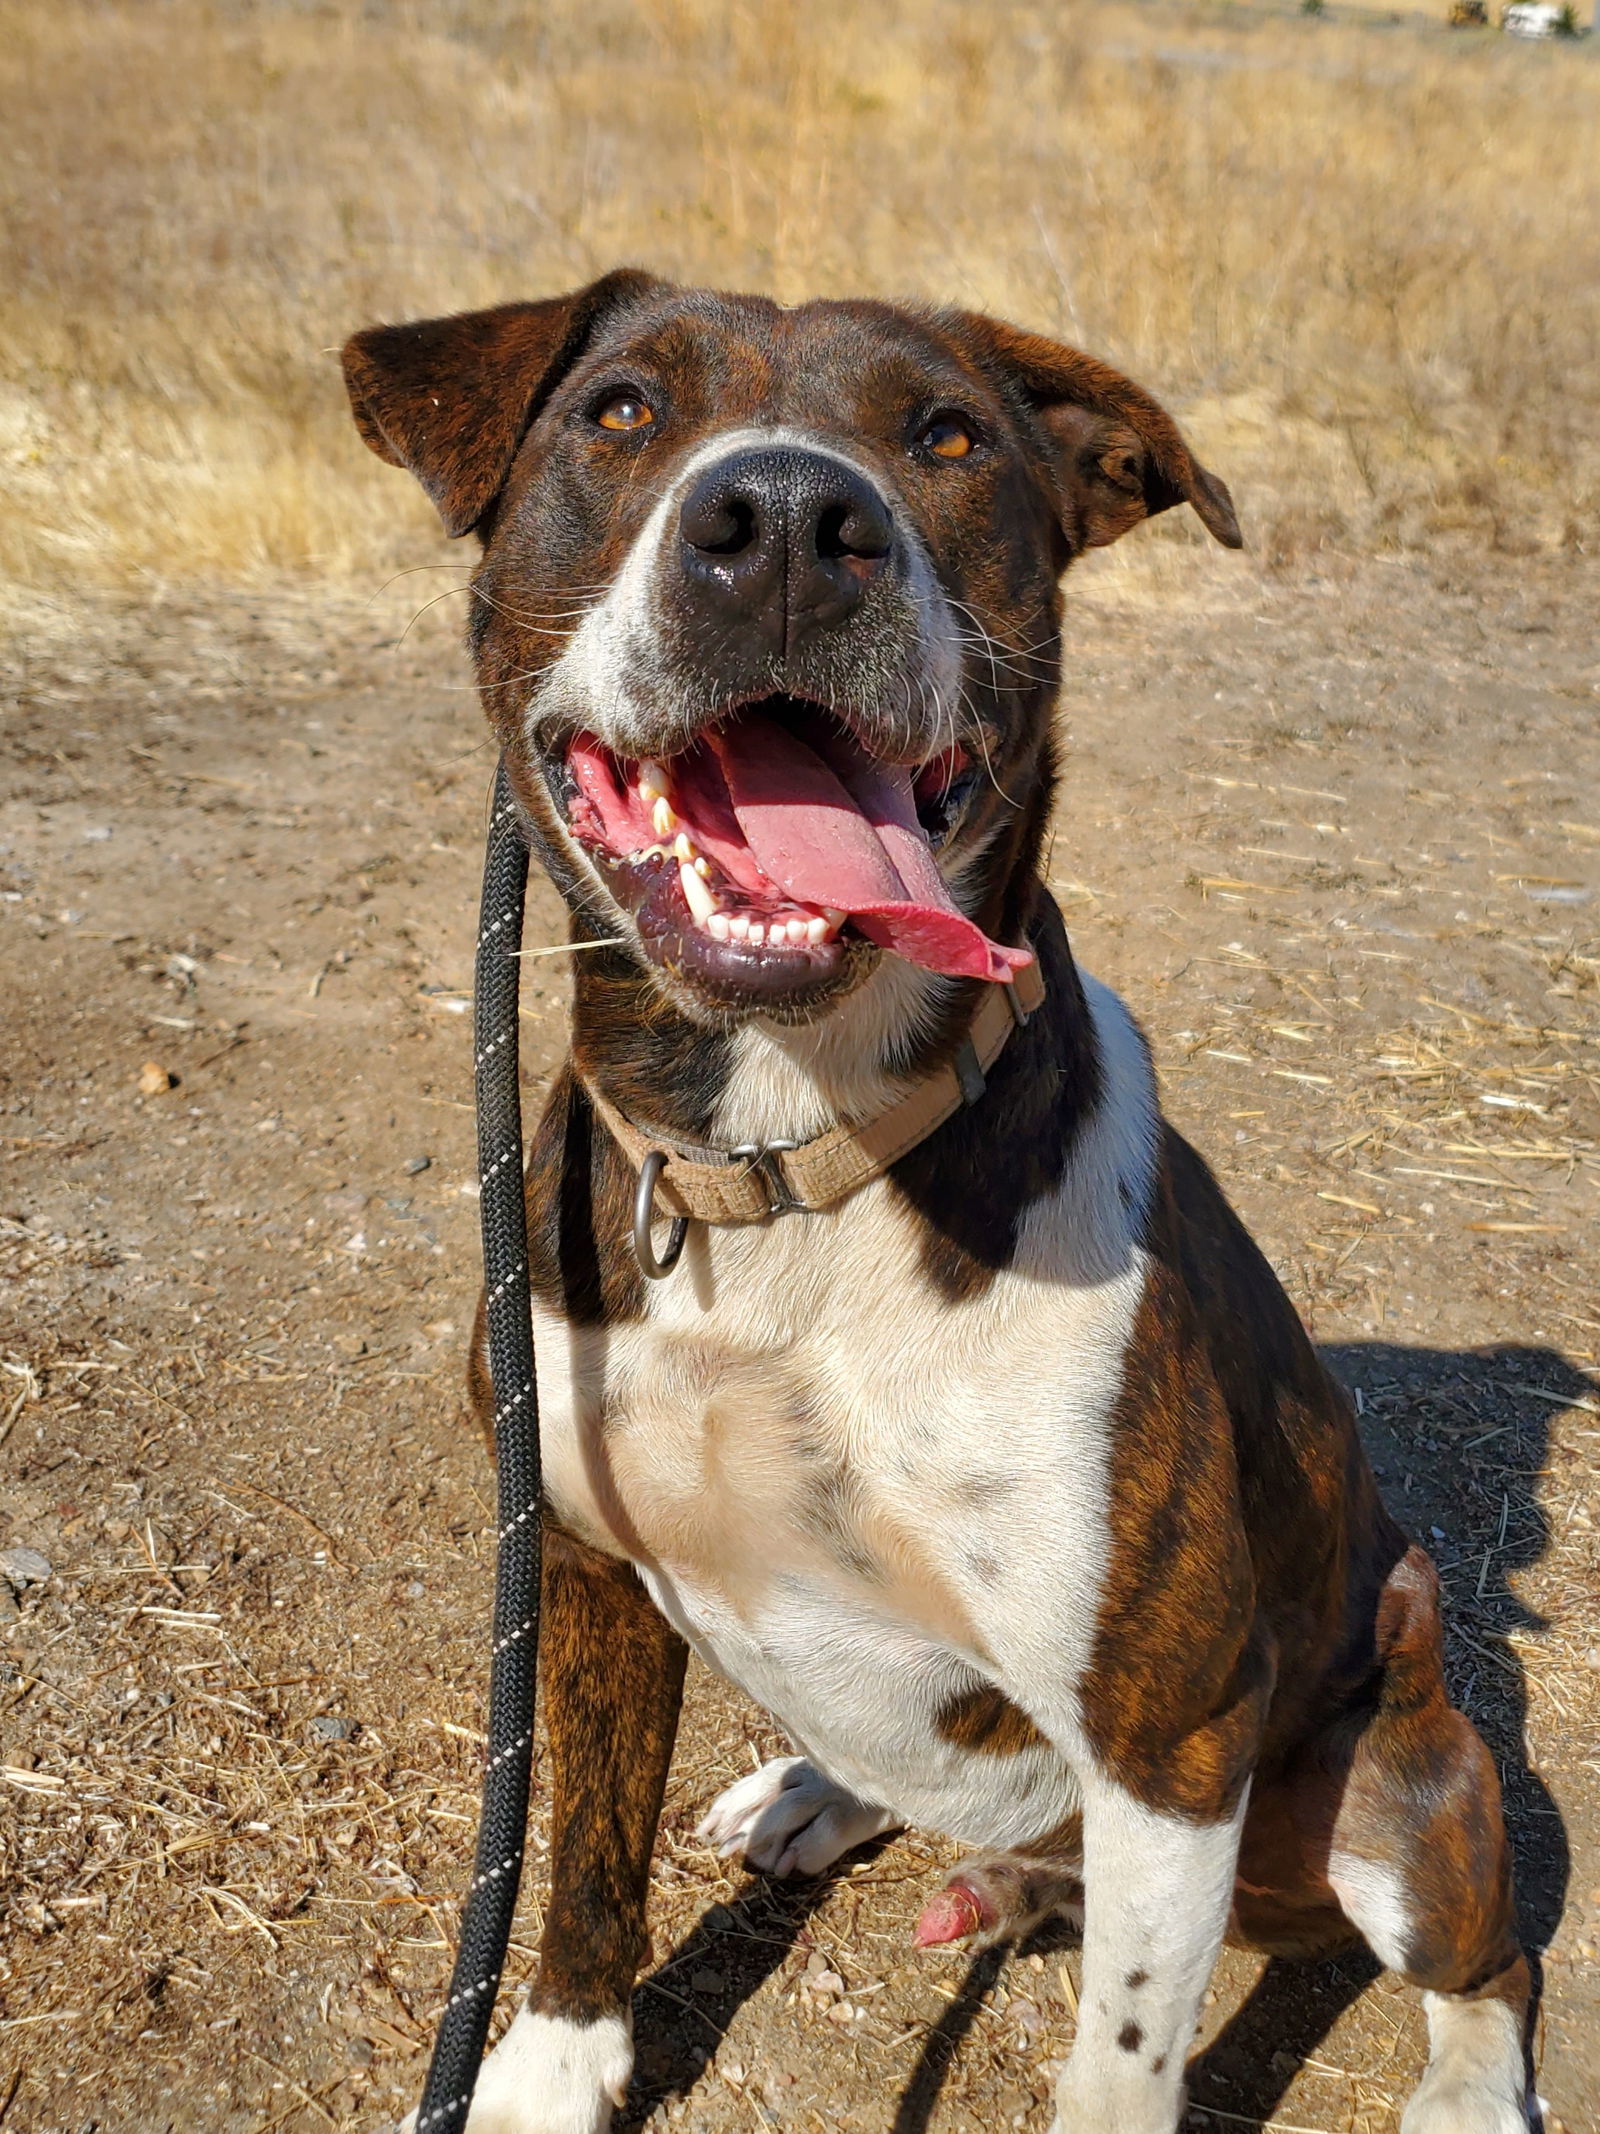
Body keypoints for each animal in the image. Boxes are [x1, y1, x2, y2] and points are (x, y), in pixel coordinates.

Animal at [347, 275, 1527, 2134]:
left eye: (949, 436)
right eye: (619, 410)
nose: (783, 525)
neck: (779, 1166)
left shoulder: (1173, 1729)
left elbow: (1121, 2065)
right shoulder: (590, 1564)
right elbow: (581, 1858)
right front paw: (546, 2067)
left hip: (1399, 1776)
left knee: (1487, 1955)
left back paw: (1474, 2081)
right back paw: (814, 1791)